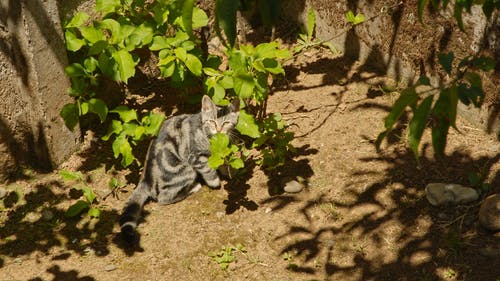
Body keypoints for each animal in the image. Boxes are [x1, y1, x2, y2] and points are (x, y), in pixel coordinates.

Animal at [120, 95, 239, 240]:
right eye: (212, 121)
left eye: (226, 123)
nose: (219, 130)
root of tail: (145, 180)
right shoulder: (195, 157)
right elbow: (208, 170)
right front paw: (215, 182)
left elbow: (220, 162)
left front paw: (227, 171)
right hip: (187, 170)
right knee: (163, 198)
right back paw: (193, 188)